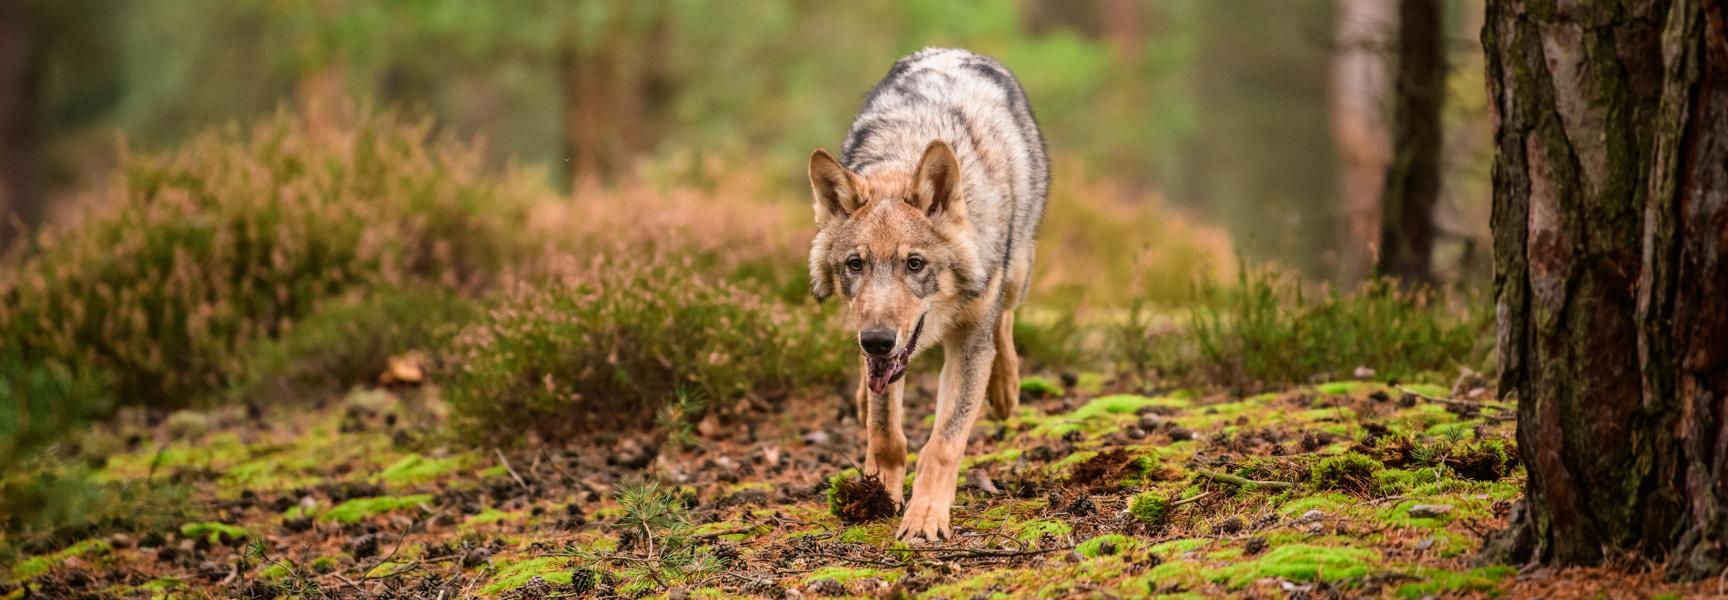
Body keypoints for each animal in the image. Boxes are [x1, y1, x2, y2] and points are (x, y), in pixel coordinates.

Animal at [806, 47, 1049, 542]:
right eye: (855, 264)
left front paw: (924, 517)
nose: (877, 341)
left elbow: (943, 443)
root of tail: (954, 50)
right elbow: (885, 433)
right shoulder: (877, 353)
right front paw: (878, 494)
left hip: (1016, 271)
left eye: (914, 264)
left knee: (1006, 321)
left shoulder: (969, 344)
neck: (905, 152)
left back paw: (1005, 388)